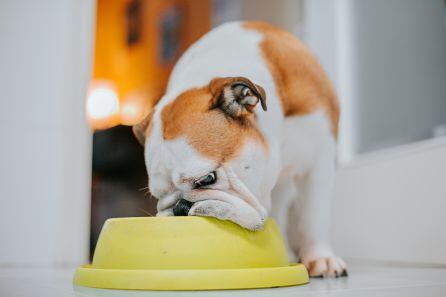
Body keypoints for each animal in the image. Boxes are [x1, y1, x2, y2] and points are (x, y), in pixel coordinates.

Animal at [133, 21, 348, 278]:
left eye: (207, 179)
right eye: (158, 196)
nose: (179, 207)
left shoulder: (319, 162)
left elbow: (314, 215)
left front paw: (321, 257)